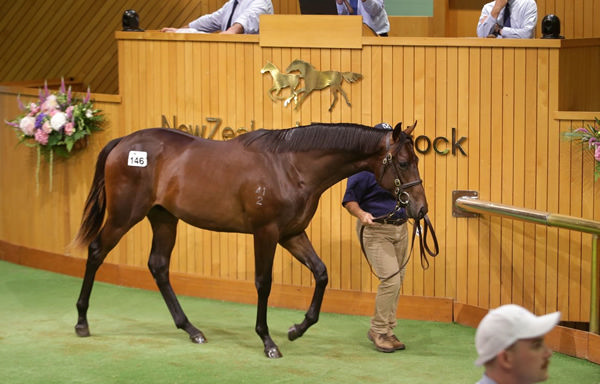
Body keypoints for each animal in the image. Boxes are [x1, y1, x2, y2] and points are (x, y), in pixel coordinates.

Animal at [74, 121, 426, 356]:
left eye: (417, 160)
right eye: (403, 162)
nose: (420, 209)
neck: (290, 166)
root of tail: (123, 142)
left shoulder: (292, 233)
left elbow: (321, 273)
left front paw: (297, 329)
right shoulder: (266, 233)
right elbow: (263, 283)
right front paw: (267, 341)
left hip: (164, 218)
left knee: (158, 266)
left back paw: (191, 330)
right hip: (124, 216)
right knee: (96, 252)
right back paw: (81, 321)